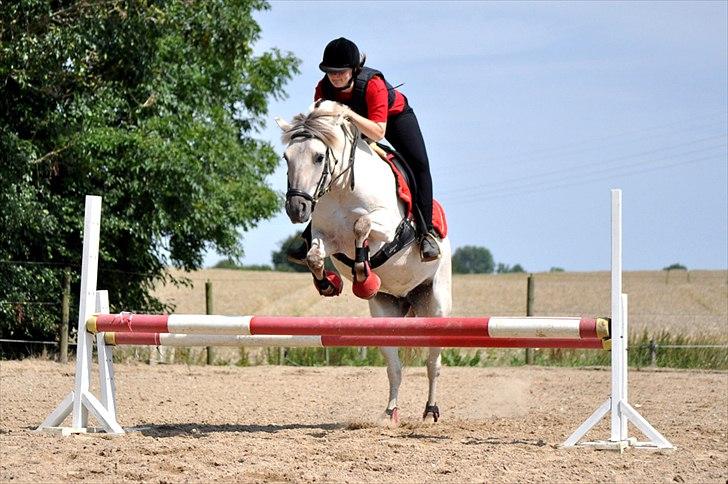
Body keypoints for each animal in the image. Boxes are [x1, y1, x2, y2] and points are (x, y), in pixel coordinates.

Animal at [276, 102, 452, 424]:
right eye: (286, 157)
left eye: (319, 157)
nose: (297, 208)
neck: (341, 189)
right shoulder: (324, 237)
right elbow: (315, 255)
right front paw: (329, 284)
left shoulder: (390, 229)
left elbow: (362, 225)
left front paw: (362, 274)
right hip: (385, 311)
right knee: (395, 367)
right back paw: (390, 414)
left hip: (436, 304)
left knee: (433, 363)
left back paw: (430, 412)